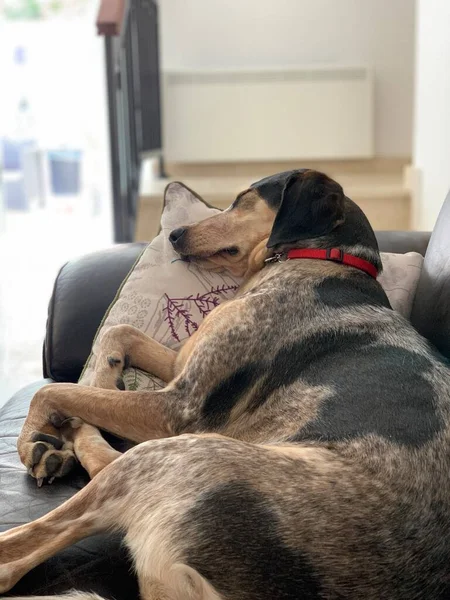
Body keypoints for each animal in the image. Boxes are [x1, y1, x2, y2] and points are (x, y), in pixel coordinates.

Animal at [0, 170, 450, 600]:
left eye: (242, 199)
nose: (174, 234)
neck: (320, 257)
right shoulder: (181, 362)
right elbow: (118, 333)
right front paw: (105, 374)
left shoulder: (178, 406)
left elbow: (54, 389)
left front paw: (29, 437)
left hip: (178, 452)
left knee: (24, 549)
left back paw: (52, 448)